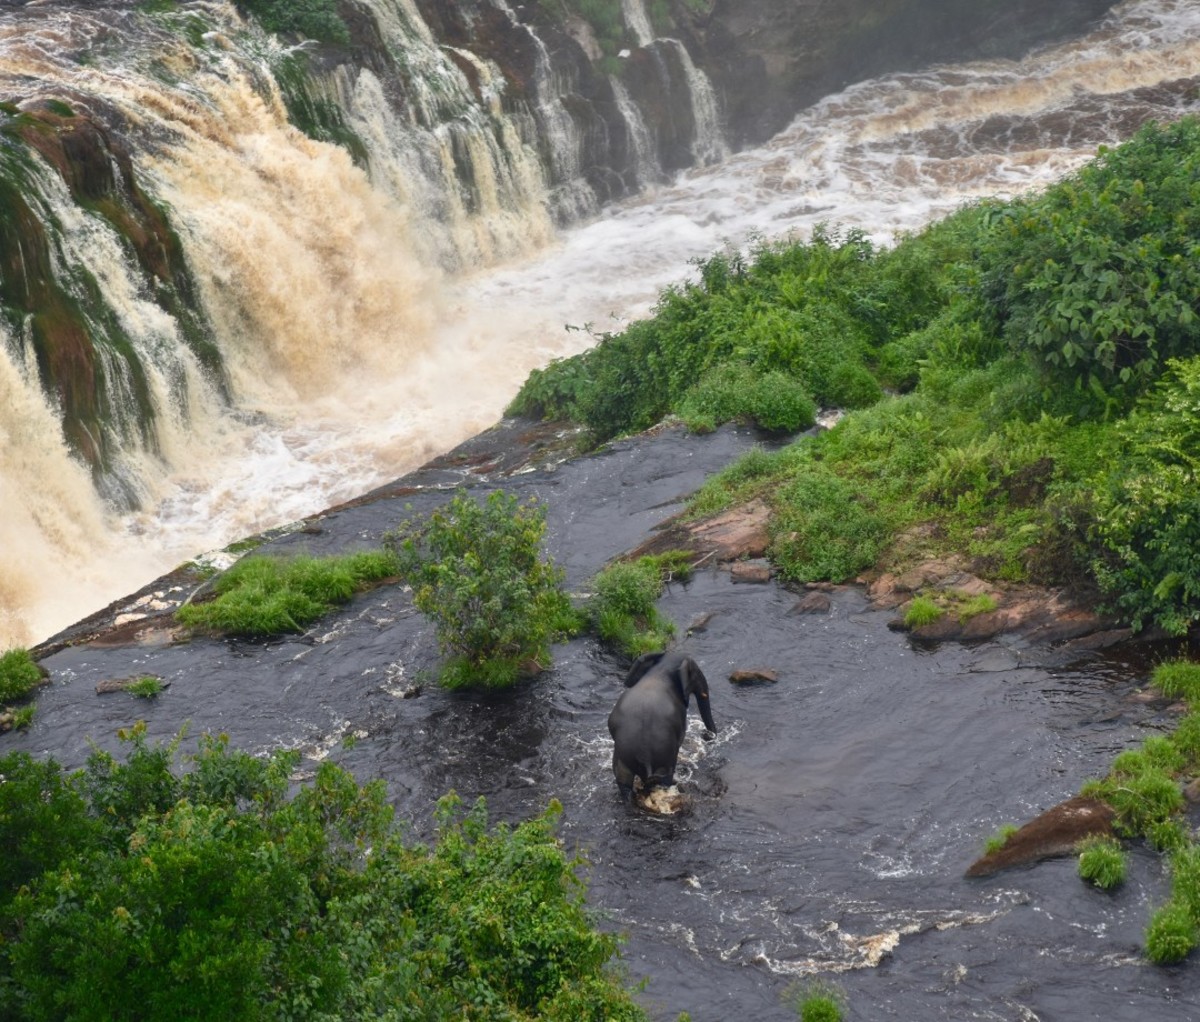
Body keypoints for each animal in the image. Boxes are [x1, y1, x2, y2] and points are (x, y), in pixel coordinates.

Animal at [609, 652, 710, 801]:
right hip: (665, 756)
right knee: (664, 778)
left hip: (623, 755)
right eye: (698, 672)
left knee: (624, 781)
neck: (661, 669)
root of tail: (644, 754)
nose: (707, 735)